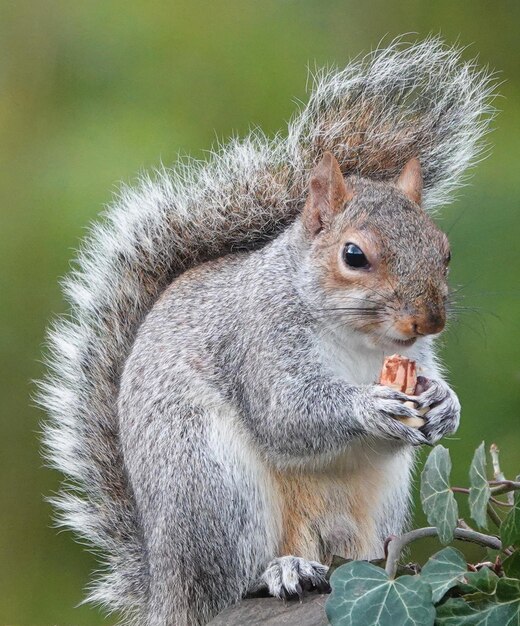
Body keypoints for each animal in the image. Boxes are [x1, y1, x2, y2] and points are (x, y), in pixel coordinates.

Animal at [40, 39, 496, 624]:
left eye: (444, 250)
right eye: (354, 255)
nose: (428, 319)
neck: (361, 342)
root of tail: (167, 591)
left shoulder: (417, 354)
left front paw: (444, 403)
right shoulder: (256, 341)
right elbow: (286, 414)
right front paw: (369, 406)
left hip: (377, 505)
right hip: (210, 484)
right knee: (229, 583)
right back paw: (278, 571)